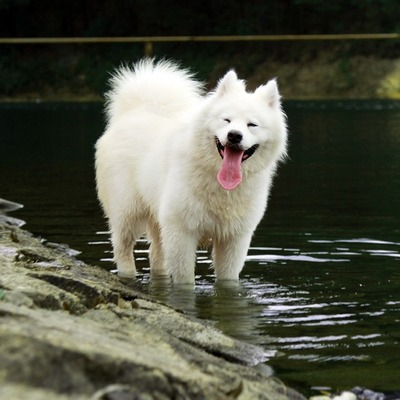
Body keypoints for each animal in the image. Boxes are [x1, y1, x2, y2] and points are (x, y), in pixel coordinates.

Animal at [94, 60, 288, 284]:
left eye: (252, 125)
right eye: (226, 120)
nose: (234, 135)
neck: (218, 183)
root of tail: (136, 110)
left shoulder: (234, 238)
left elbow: (227, 280)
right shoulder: (181, 232)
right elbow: (185, 280)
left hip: (158, 218)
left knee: (156, 255)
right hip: (128, 212)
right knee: (122, 247)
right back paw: (127, 275)